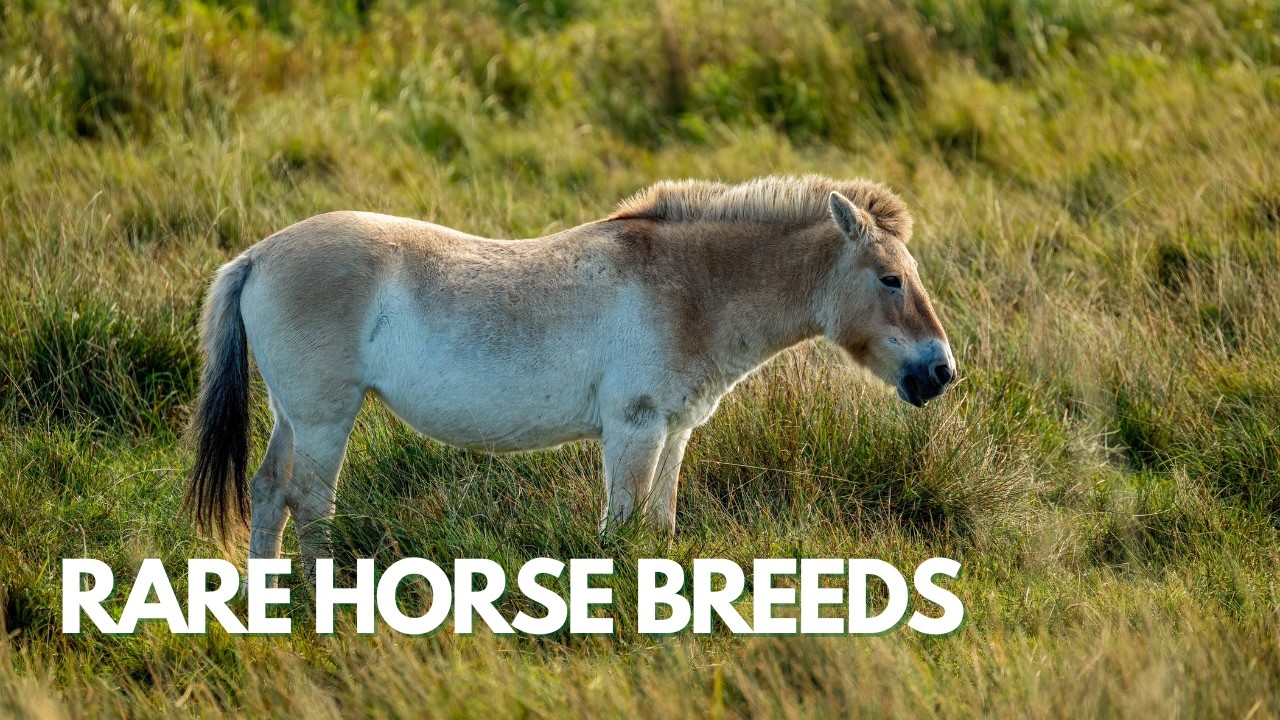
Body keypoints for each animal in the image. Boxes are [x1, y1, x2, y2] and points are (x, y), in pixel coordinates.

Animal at [185, 175, 956, 580]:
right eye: (890, 278)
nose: (942, 372)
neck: (691, 287)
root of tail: (258, 254)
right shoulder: (633, 432)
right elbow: (622, 528)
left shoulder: (673, 434)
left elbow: (658, 527)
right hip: (325, 418)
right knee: (310, 503)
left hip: (294, 415)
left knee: (269, 492)